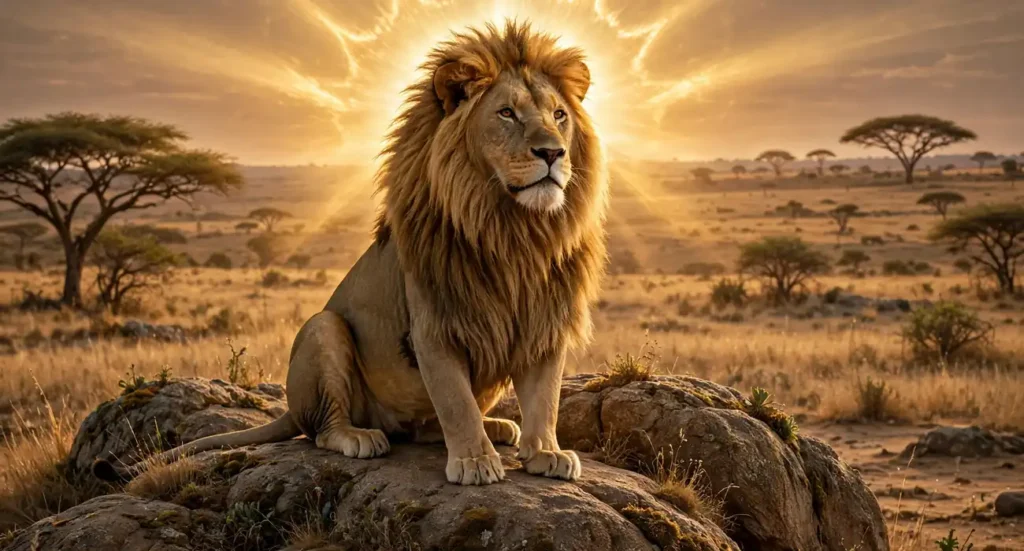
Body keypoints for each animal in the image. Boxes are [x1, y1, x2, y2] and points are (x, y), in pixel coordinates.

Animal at [94, 20, 607, 486]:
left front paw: (547, 453)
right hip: (323, 330)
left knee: (426, 428)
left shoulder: (545, 319)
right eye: (506, 113)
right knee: (322, 429)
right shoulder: (435, 324)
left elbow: (545, 397)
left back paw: (497, 426)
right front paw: (474, 462)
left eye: (559, 115)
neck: (515, 230)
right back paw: (362, 437)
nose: (553, 153)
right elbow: (456, 400)